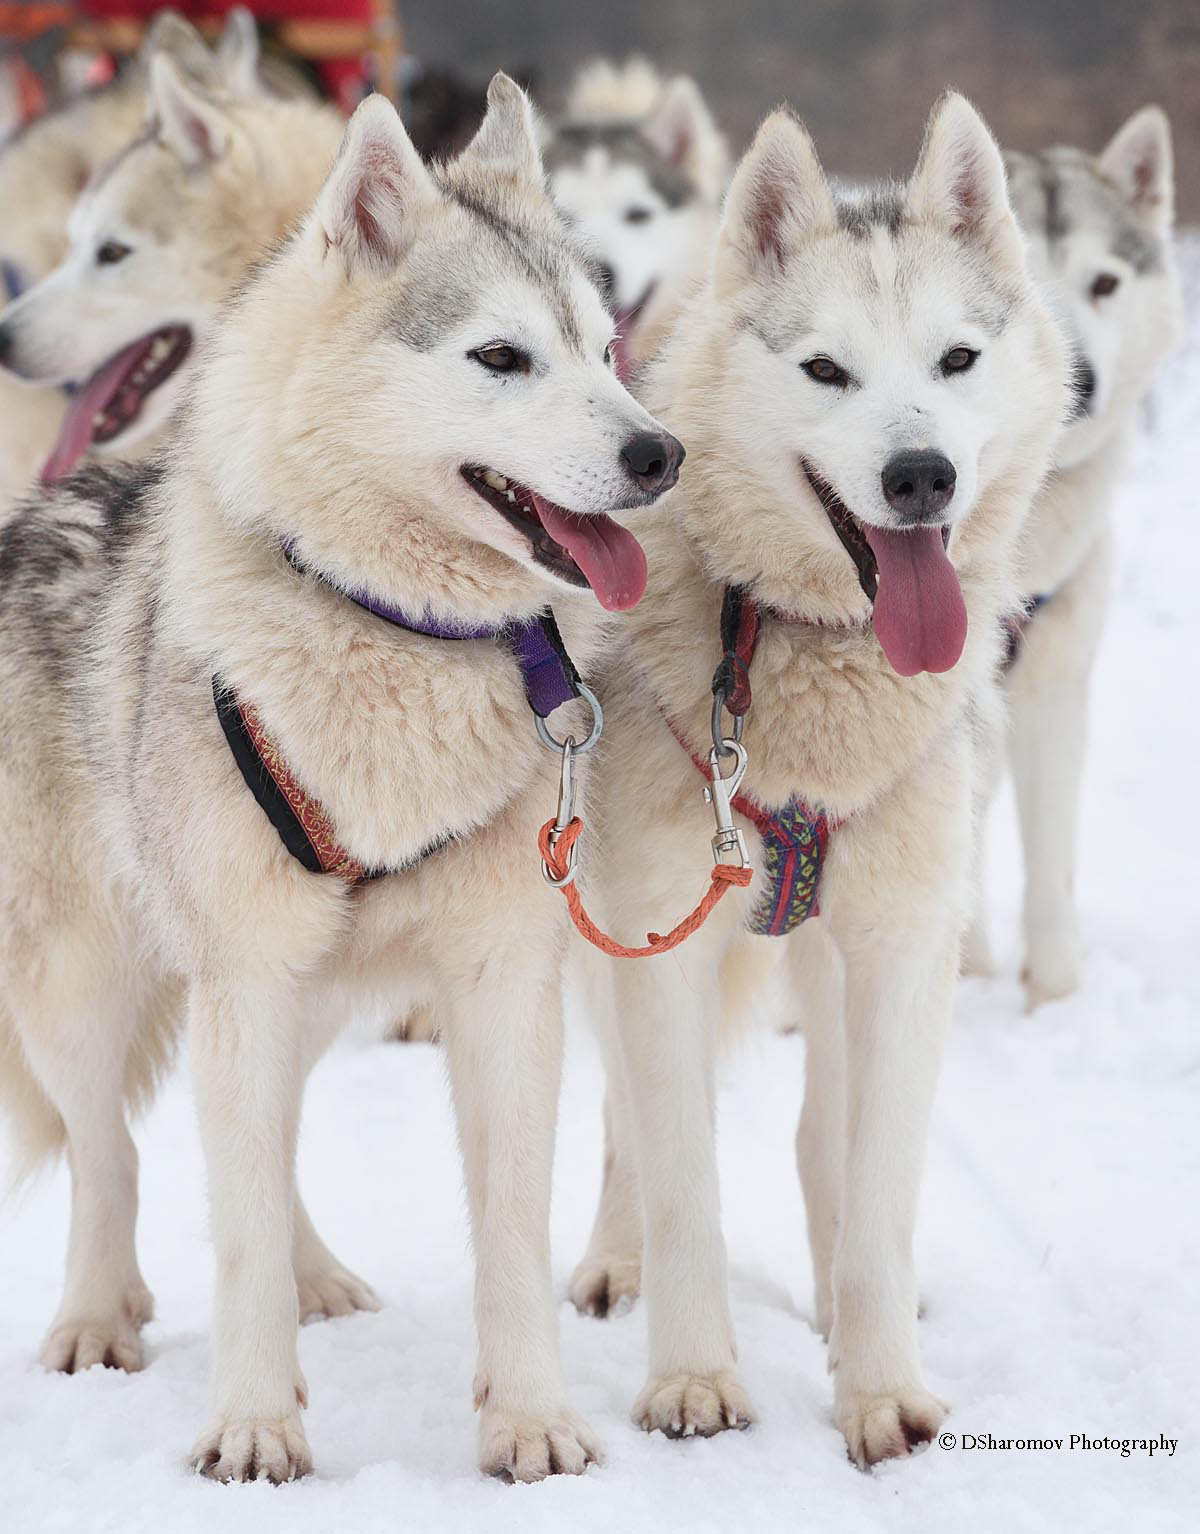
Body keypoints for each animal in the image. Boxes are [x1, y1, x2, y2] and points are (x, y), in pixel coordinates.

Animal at [0, 77, 687, 1478]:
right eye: (501, 358)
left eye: (604, 349)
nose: (662, 456)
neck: (394, 631)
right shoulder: (245, 971)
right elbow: (231, 1223)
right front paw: (255, 1425)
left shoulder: (503, 979)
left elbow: (509, 1226)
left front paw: (530, 1417)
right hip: (90, 981)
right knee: (113, 1150)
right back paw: (97, 1314)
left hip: (295, 993)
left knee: (266, 1149)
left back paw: (316, 1278)